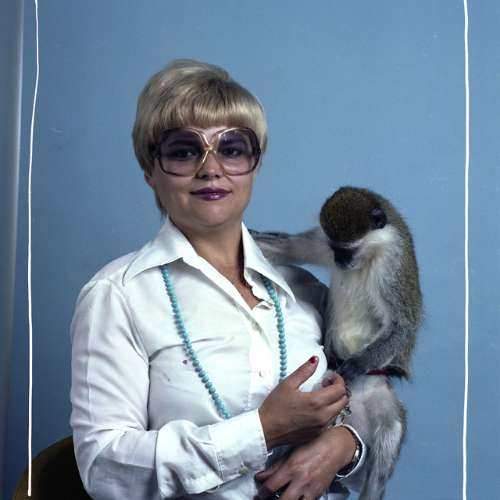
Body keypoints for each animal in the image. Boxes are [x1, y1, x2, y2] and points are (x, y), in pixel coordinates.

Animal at [252, 186, 422, 500]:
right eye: (336, 249)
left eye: (348, 250)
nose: (341, 262)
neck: (371, 252)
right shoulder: (321, 240)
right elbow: (286, 247)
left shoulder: (393, 263)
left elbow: (402, 326)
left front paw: (354, 366)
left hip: (382, 404)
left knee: (384, 451)